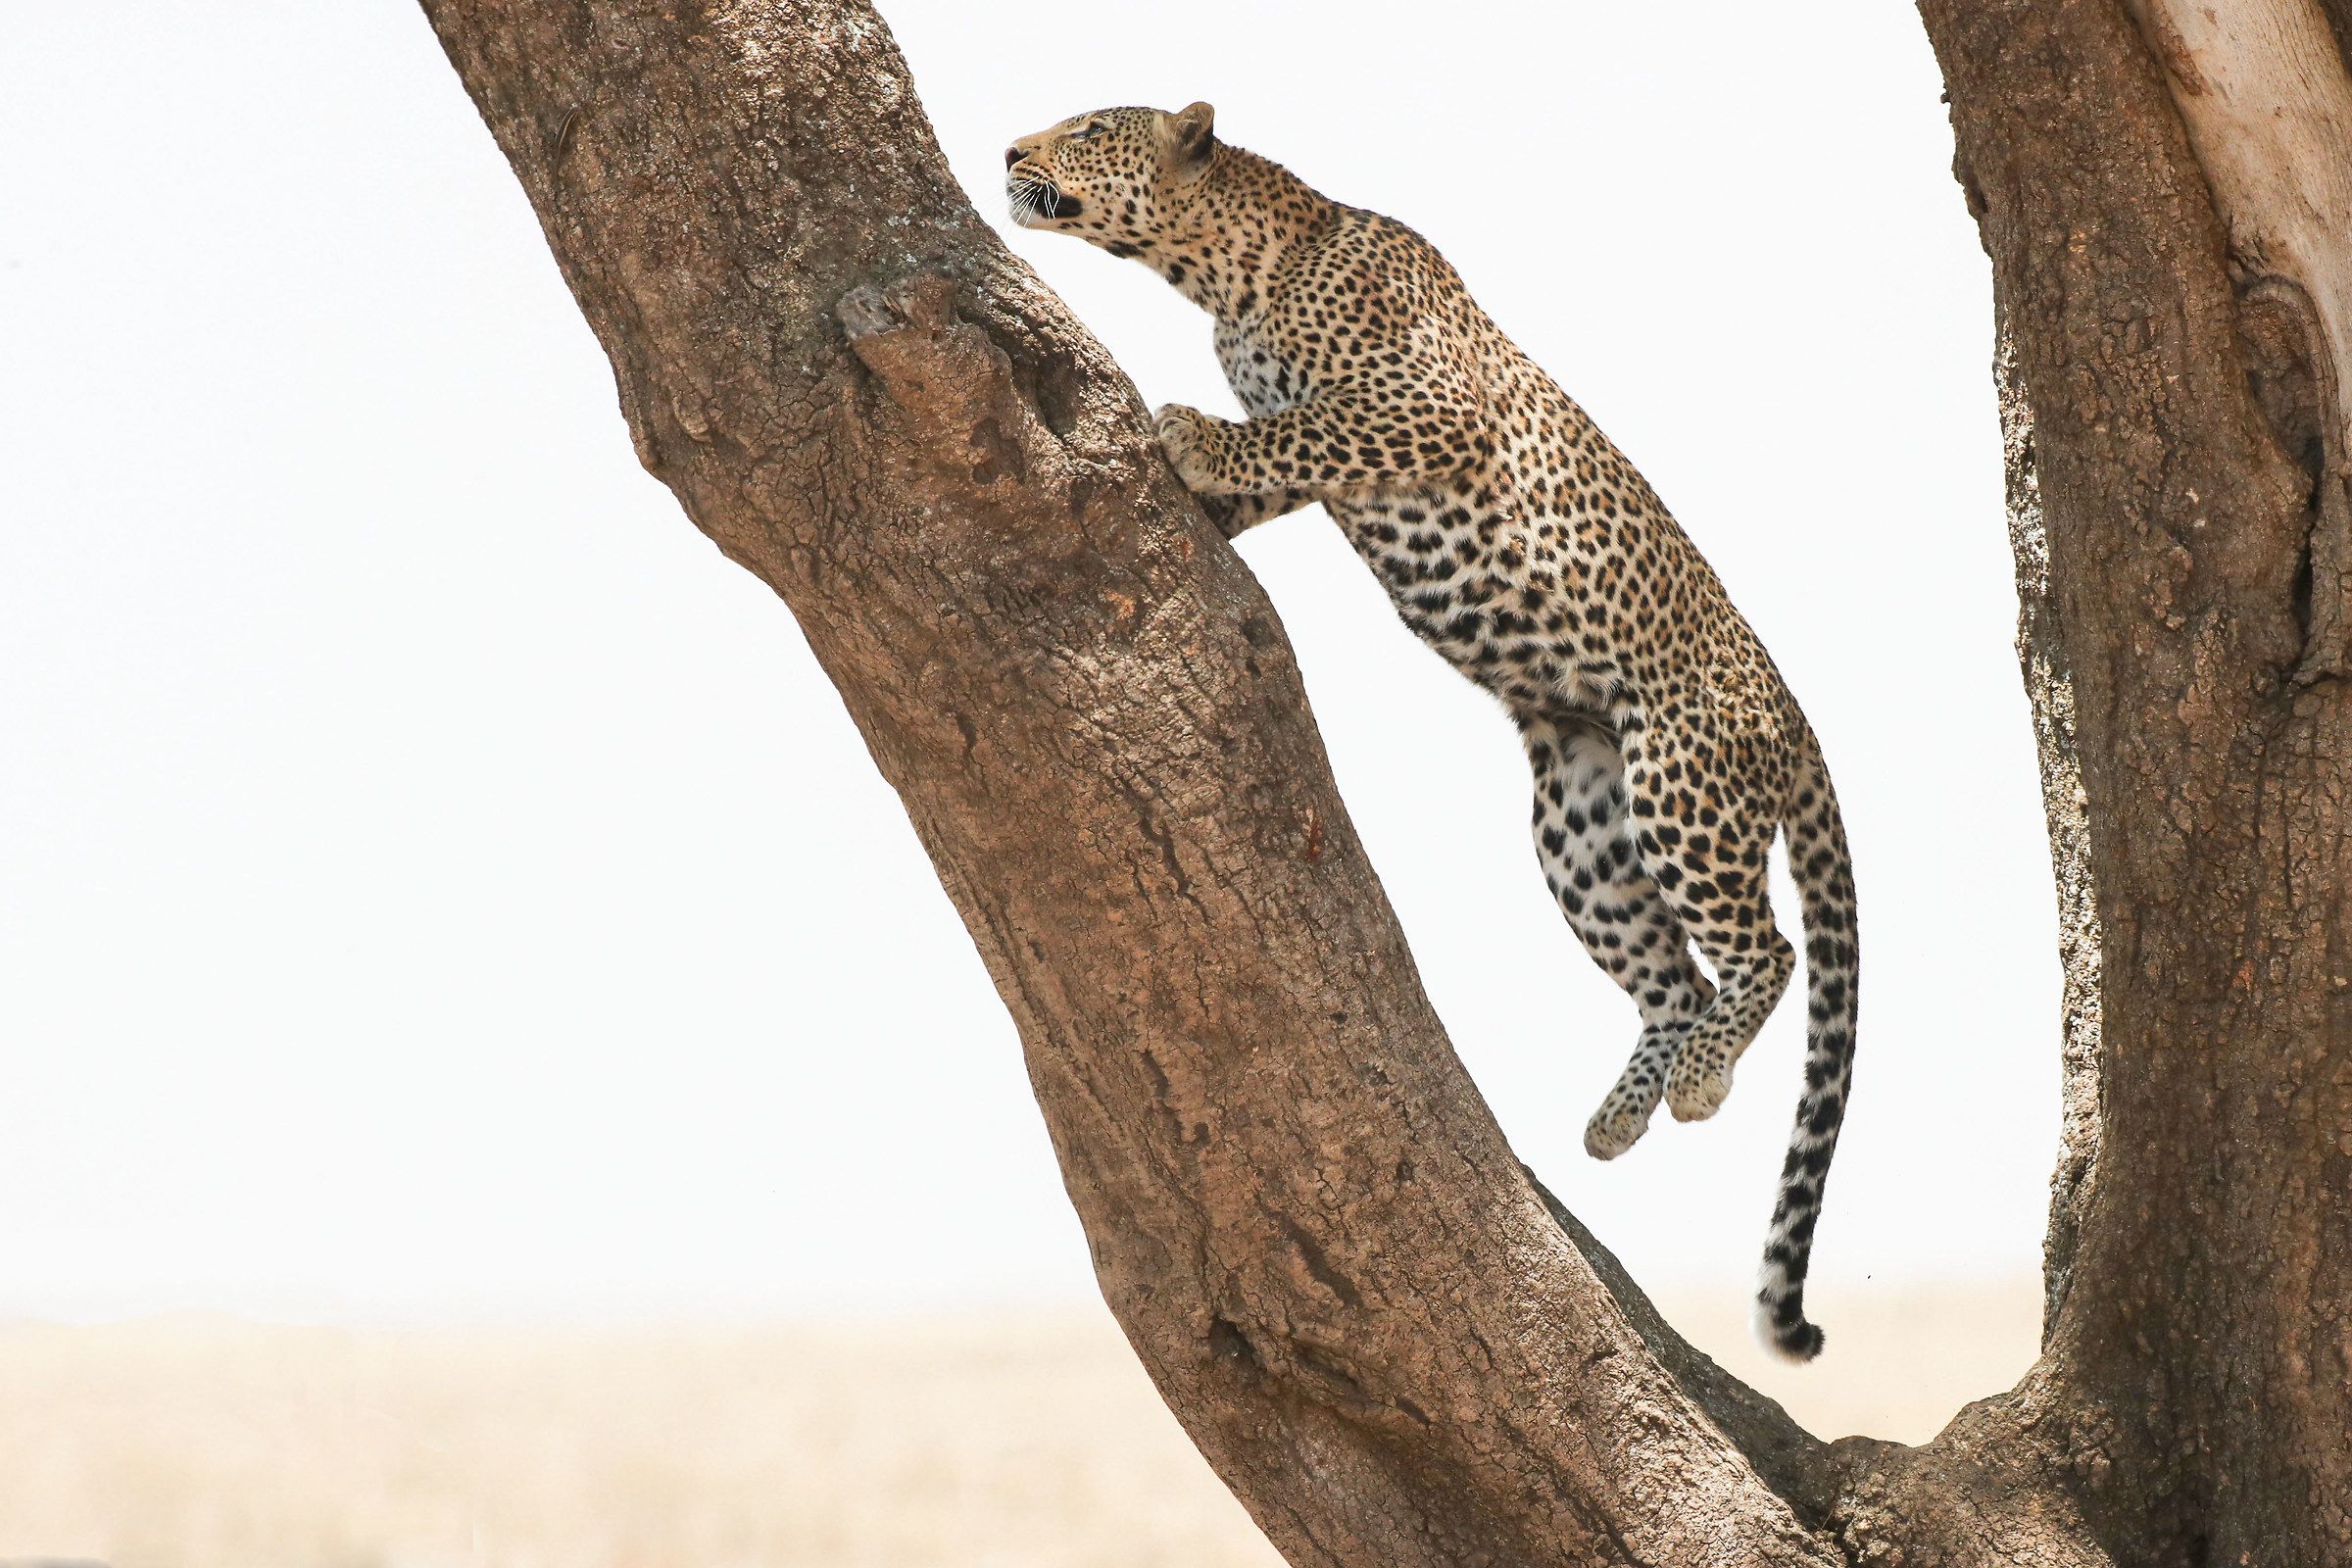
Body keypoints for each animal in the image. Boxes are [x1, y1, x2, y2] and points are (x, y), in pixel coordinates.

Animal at [1006, 102, 1859, 1362]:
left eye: (1094, 127)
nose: (1010, 154)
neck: (1232, 273)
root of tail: (1798, 722)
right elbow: (1290, 452)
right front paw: (1197, 465)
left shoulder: (1423, 409)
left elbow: (1309, 429)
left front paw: (1192, 434)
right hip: (1580, 824)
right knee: (1674, 980)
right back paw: (1616, 1119)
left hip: (1680, 782)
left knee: (1768, 951)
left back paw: (1700, 1082)